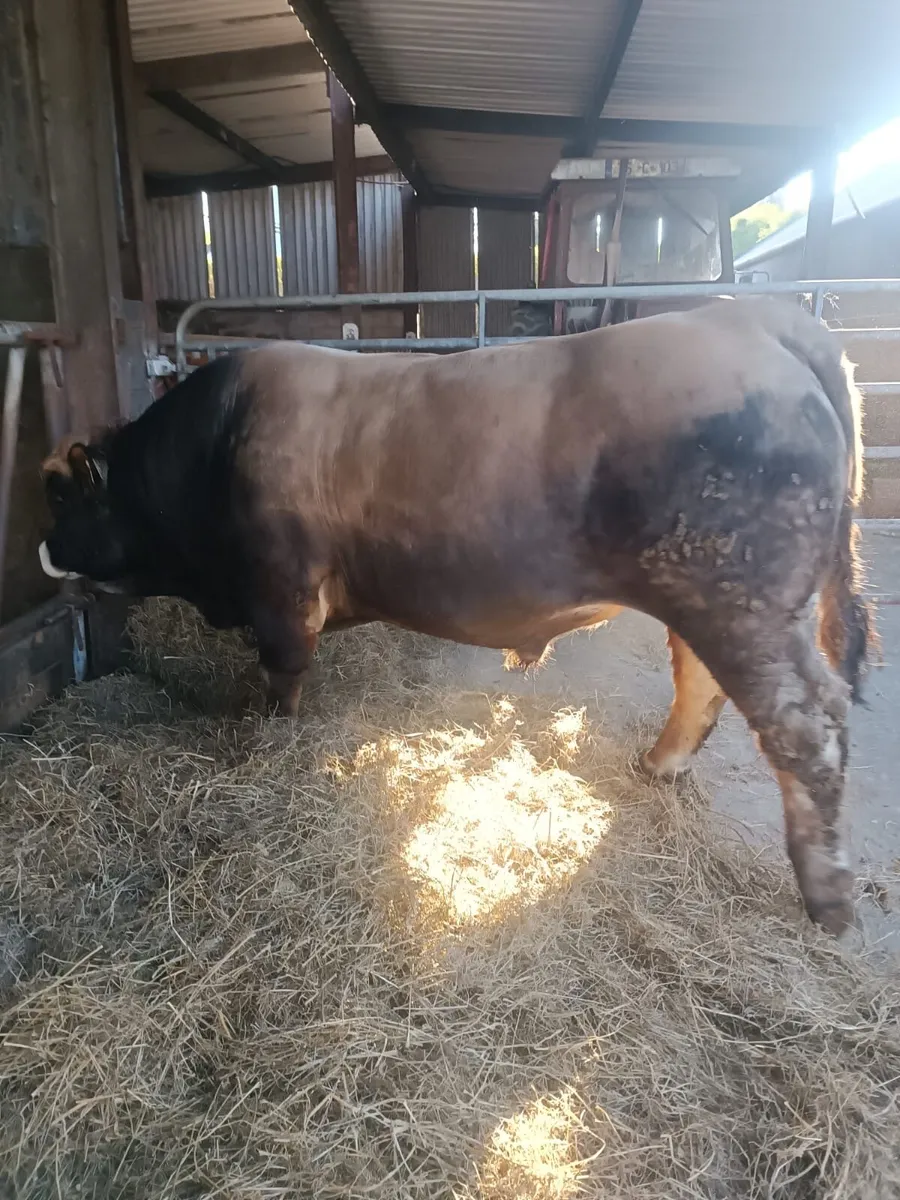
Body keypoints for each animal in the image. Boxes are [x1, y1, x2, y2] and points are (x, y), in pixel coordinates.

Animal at [38, 296, 873, 936]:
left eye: (61, 495)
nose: (42, 550)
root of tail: (748, 316)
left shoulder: (280, 592)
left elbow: (283, 674)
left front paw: (268, 733)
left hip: (746, 607)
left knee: (807, 724)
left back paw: (828, 900)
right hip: (708, 600)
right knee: (701, 682)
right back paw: (658, 766)